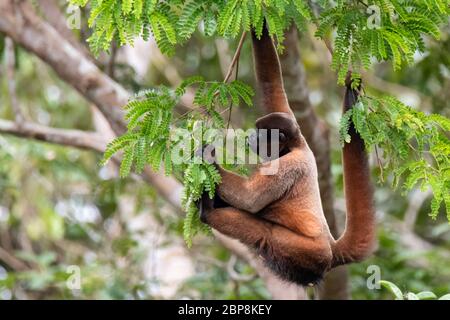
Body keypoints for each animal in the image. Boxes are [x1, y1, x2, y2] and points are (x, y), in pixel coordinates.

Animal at [200, 24, 376, 284]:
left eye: (260, 133)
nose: (250, 136)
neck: (293, 147)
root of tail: (331, 248)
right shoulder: (293, 124)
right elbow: (272, 85)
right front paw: (259, 22)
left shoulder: (289, 164)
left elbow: (250, 199)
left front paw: (205, 156)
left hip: (309, 251)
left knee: (265, 232)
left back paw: (208, 212)